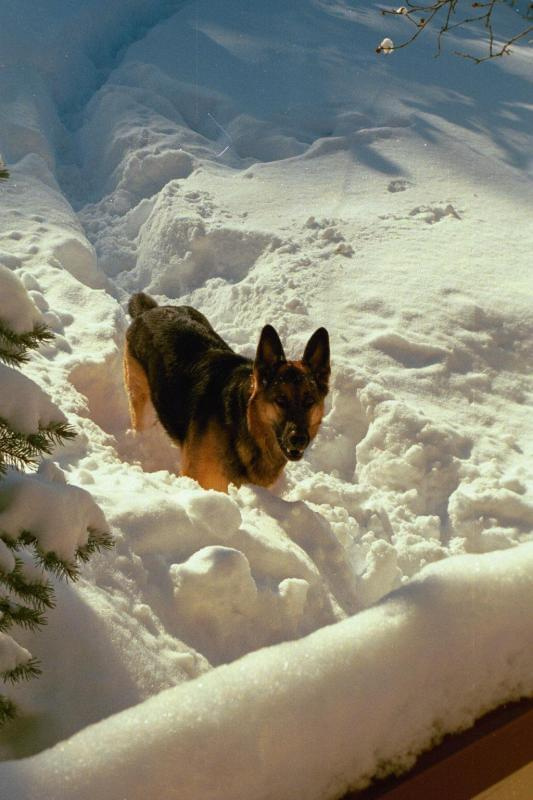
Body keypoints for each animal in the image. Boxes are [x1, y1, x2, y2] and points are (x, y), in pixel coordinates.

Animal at [124, 294, 328, 494]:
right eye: (280, 400)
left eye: (309, 401)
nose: (298, 439)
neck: (244, 422)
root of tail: (150, 310)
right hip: (140, 401)